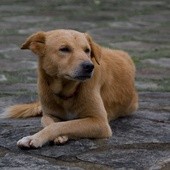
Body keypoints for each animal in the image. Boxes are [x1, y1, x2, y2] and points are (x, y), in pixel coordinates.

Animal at [1, 28, 138, 147]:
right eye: (64, 49)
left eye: (87, 50)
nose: (89, 66)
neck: (65, 91)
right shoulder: (48, 114)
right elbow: (49, 122)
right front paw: (59, 136)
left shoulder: (100, 122)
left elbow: (61, 125)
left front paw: (34, 138)